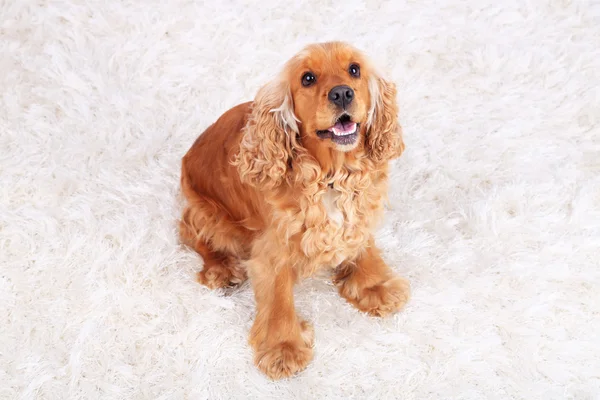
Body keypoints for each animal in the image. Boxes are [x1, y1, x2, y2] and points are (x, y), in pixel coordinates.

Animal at [178, 42, 410, 380]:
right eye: (308, 78)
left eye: (354, 69)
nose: (342, 93)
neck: (331, 177)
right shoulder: (273, 246)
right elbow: (278, 296)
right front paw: (283, 347)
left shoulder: (357, 215)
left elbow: (362, 245)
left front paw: (374, 285)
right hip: (209, 214)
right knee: (190, 231)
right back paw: (221, 269)